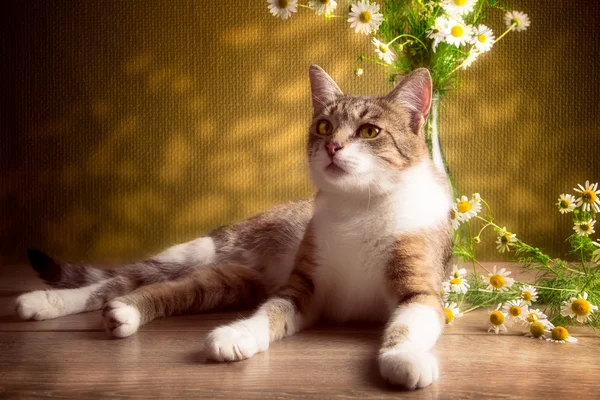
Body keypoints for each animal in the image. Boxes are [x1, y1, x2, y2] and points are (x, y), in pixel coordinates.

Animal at [14, 65, 450, 390]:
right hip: (204, 248)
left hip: (233, 282)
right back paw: (47, 301)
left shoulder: (419, 289)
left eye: (370, 131)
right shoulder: (303, 286)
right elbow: (270, 313)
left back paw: (126, 313)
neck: (358, 206)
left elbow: (409, 323)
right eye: (324, 127)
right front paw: (238, 334)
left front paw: (405, 357)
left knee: (175, 290)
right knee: (121, 280)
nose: (332, 146)